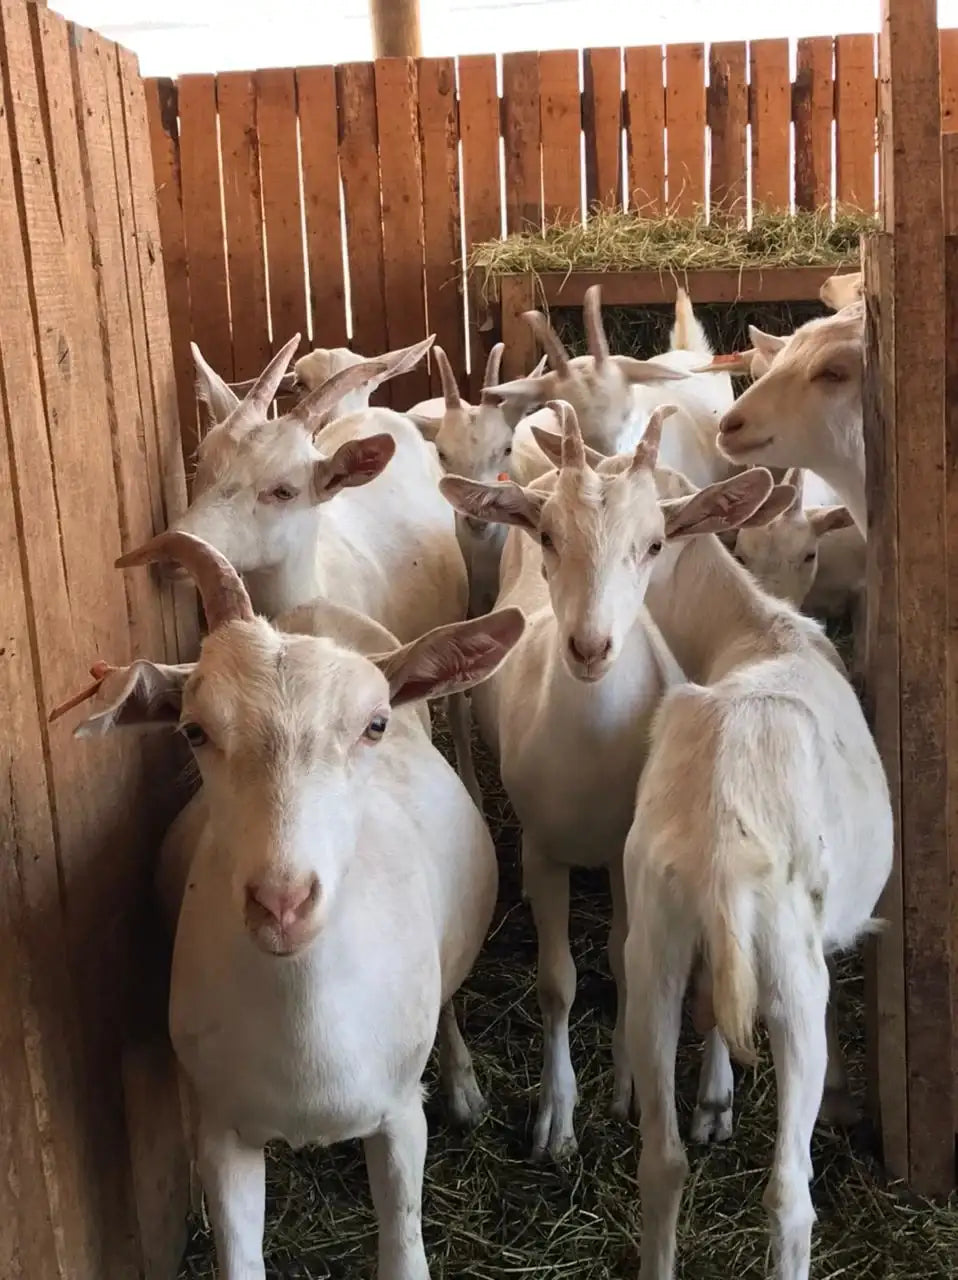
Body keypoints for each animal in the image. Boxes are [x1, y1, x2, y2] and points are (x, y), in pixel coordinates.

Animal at [68, 530, 526, 1280]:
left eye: (374, 725)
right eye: (194, 730)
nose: (281, 903)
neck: (303, 1021)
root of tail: (316, 611)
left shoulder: (399, 1119)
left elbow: (403, 1254)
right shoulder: (221, 1130)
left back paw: (463, 1087)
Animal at [615, 465, 891, 1280]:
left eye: (651, 542)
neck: (752, 630)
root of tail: (722, 849)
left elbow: (714, 1013)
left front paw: (714, 1103)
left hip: (652, 952)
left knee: (661, 1163)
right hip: (795, 977)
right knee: (790, 1195)